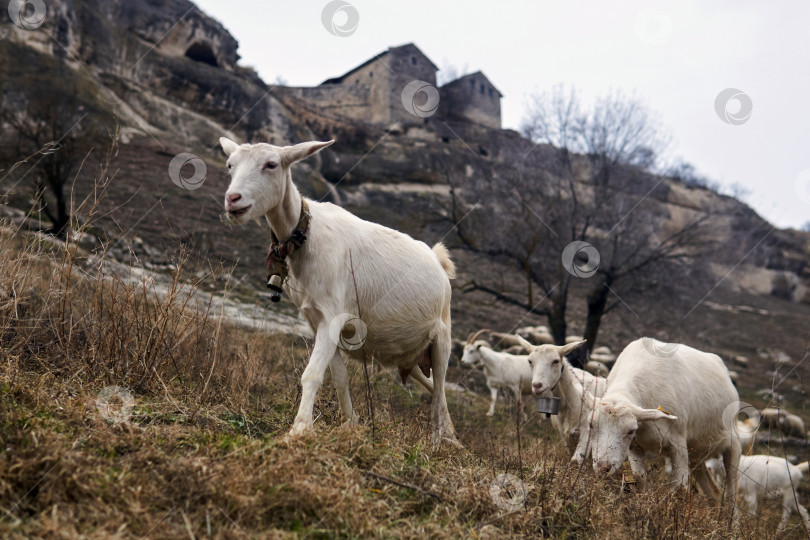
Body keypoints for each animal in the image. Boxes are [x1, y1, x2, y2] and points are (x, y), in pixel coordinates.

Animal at [219, 138, 460, 448]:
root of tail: (438, 260)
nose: (233, 199)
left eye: (271, 164)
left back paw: (439, 441)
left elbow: (311, 374)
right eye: (230, 165)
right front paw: (350, 425)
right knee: (432, 386)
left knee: (440, 387)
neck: (306, 233)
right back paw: (452, 435)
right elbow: (339, 377)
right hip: (412, 352)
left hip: (442, 337)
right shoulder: (317, 320)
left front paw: (299, 430)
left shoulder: (332, 316)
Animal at [576, 338, 740, 516]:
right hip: (697, 453)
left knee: (732, 494)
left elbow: (680, 489)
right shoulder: (635, 447)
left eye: (630, 431)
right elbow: (639, 477)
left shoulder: (679, 446)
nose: (603, 468)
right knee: (714, 492)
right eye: (591, 425)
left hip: (734, 445)